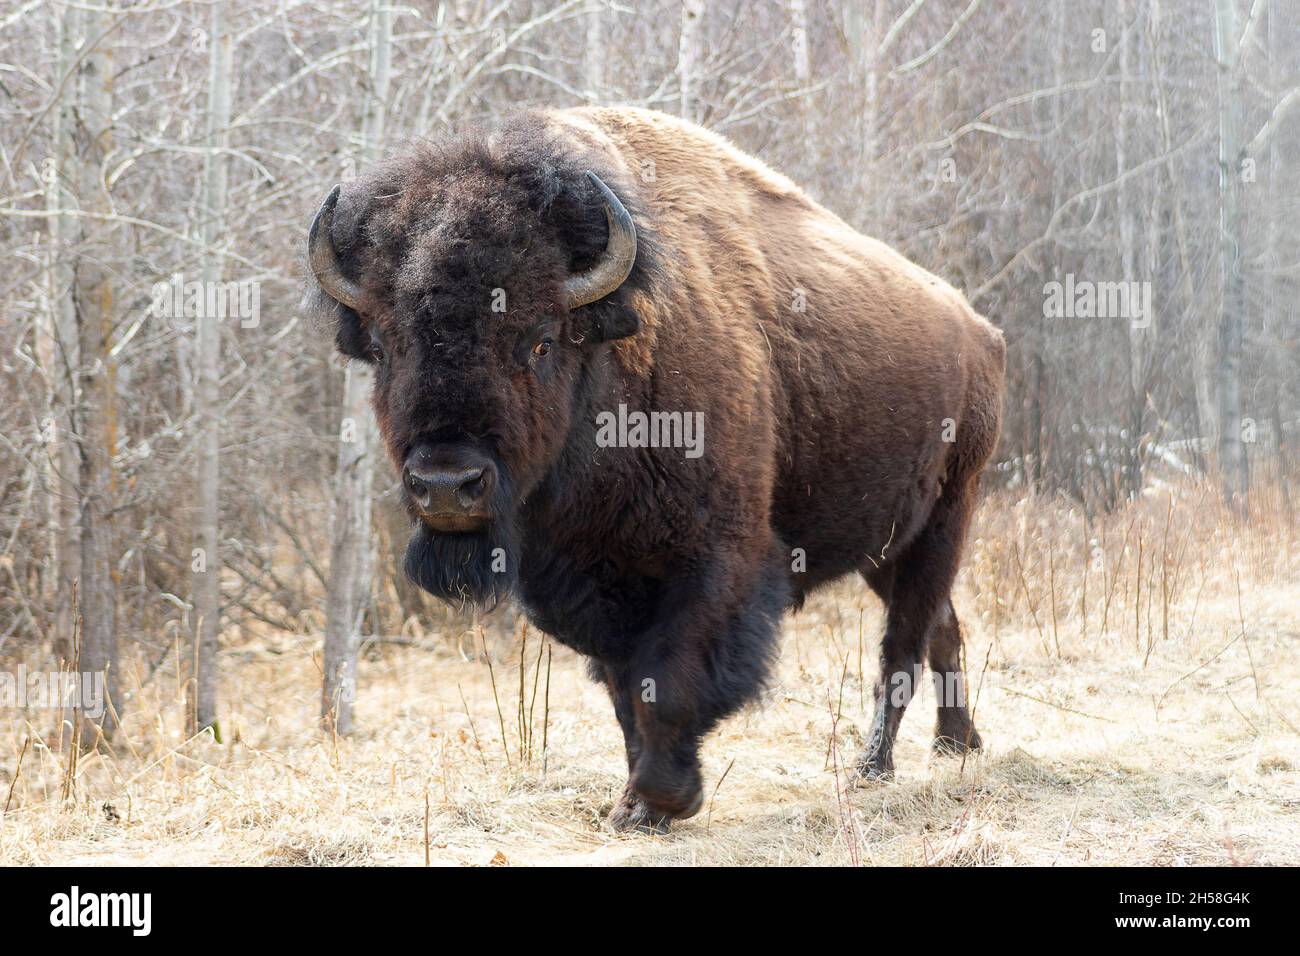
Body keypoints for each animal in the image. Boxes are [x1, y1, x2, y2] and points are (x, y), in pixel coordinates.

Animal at [304, 108, 1003, 832]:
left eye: (540, 340)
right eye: (385, 346)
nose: (446, 485)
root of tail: (978, 329)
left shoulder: (717, 561)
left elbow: (668, 683)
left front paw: (661, 799)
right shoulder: (593, 585)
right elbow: (624, 691)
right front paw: (635, 801)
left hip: (946, 519)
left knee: (903, 647)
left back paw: (876, 766)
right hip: (884, 549)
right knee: (942, 627)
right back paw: (957, 743)